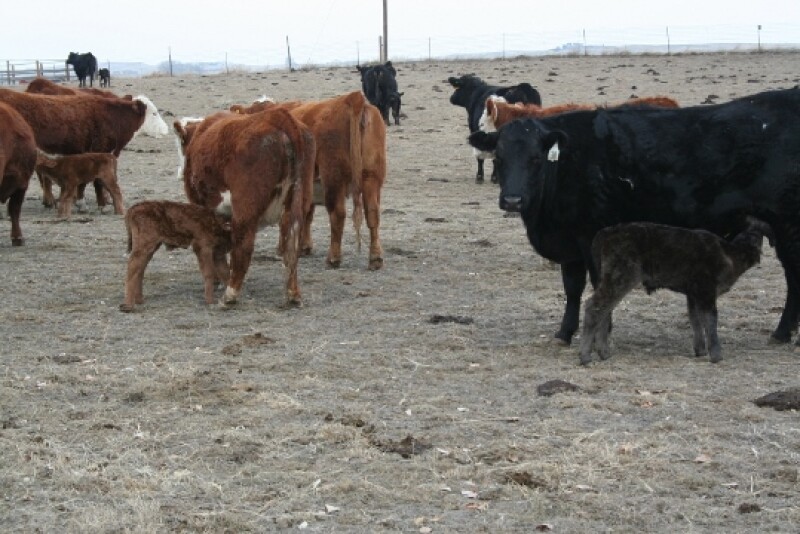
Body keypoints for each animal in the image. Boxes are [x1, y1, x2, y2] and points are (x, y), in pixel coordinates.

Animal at [178, 107, 315, 307]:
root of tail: (278, 116)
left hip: (245, 207)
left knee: (244, 246)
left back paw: (230, 295)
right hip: (298, 201)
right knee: (291, 245)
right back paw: (293, 294)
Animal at [467, 87, 800, 346]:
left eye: (536, 159)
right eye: (500, 157)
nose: (513, 200)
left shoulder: (592, 236)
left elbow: (599, 284)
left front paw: (601, 331)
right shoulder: (571, 243)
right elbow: (572, 288)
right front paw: (564, 332)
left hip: (789, 228)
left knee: (794, 277)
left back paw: (782, 333)